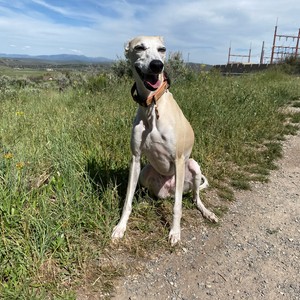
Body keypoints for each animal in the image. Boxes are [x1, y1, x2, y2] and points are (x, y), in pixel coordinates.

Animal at [111, 35, 217, 246]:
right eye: (139, 47)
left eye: (162, 49)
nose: (157, 65)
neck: (152, 105)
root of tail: (168, 191)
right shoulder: (135, 159)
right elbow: (127, 200)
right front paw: (120, 227)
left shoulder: (178, 160)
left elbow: (177, 207)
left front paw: (175, 233)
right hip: (145, 172)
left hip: (193, 167)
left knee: (194, 197)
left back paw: (207, 212)